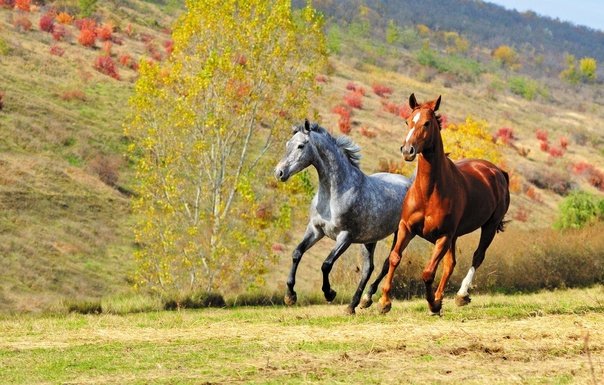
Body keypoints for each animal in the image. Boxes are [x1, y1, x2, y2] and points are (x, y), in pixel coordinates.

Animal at [274, 121, 412, 314]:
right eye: (288, 144)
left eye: (301, 146)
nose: (279, 172)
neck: (335, 193)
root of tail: (410, 182)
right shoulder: (315, 230)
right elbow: (297, 253)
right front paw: (290, 296)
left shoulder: (345, 237)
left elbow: (326, 264)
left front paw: (329, 293)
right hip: (370, 239)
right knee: (368, 269)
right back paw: (356, 304)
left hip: (401, 234)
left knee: (388, 263)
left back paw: (368, 300)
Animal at [380, 94, 508, 314]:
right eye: (407, 121)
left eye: (427, 123)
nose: (407, 150)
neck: (429, 192)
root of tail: (497, 171)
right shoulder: (407, 227)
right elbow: (394, 258)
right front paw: (384, 302)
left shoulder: (444, 236)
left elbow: (428, 272)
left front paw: (432, 304)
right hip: (455, 236)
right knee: (450, 264)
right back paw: (442, 297)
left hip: (489, 226)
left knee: (477, 257)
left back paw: (461, 295)